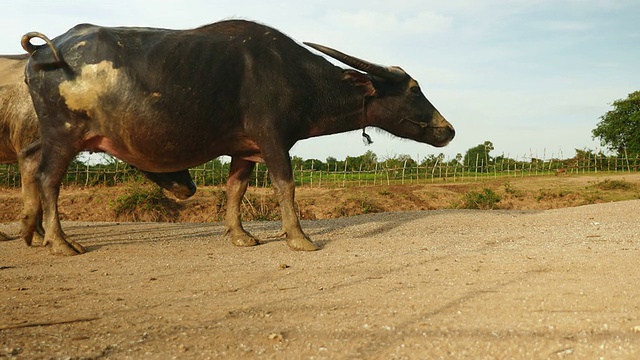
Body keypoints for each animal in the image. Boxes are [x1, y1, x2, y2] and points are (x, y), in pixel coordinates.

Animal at [21, 20, 456, 256]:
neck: (295, 76)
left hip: (56, 135)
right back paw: (59, 242)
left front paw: (240, 235)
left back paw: (30, 231)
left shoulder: (245, 149)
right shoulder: (273, 139)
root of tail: (44, 54)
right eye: (414, 89)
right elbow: (286, 185)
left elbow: (235, 190)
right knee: (49, 179)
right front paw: (299, 238)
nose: (448, 129)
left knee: (29, 160)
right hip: (64, 134)